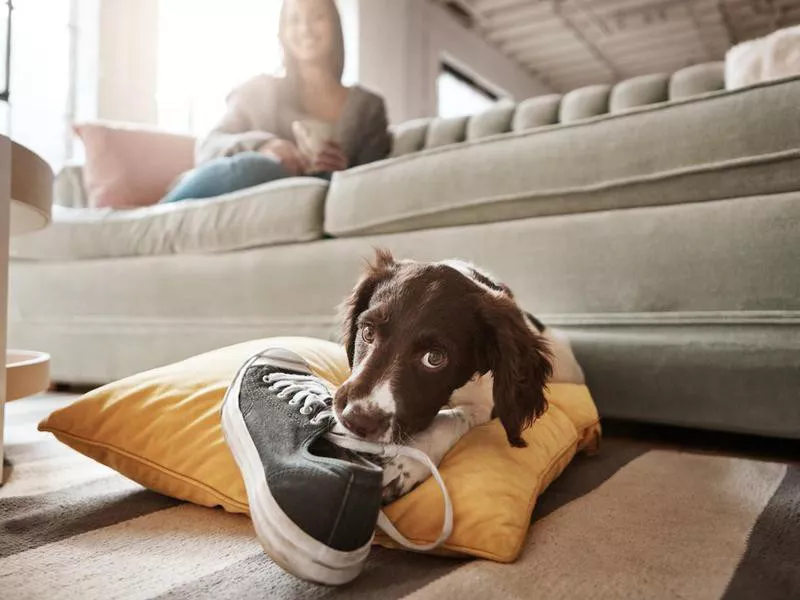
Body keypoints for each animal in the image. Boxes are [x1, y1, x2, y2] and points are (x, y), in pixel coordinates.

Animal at [330, 248, 580, 502]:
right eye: (368, 332)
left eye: (434, 358)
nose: (356, 420)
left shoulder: (489, 402)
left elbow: (453, 417)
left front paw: (407, 462)